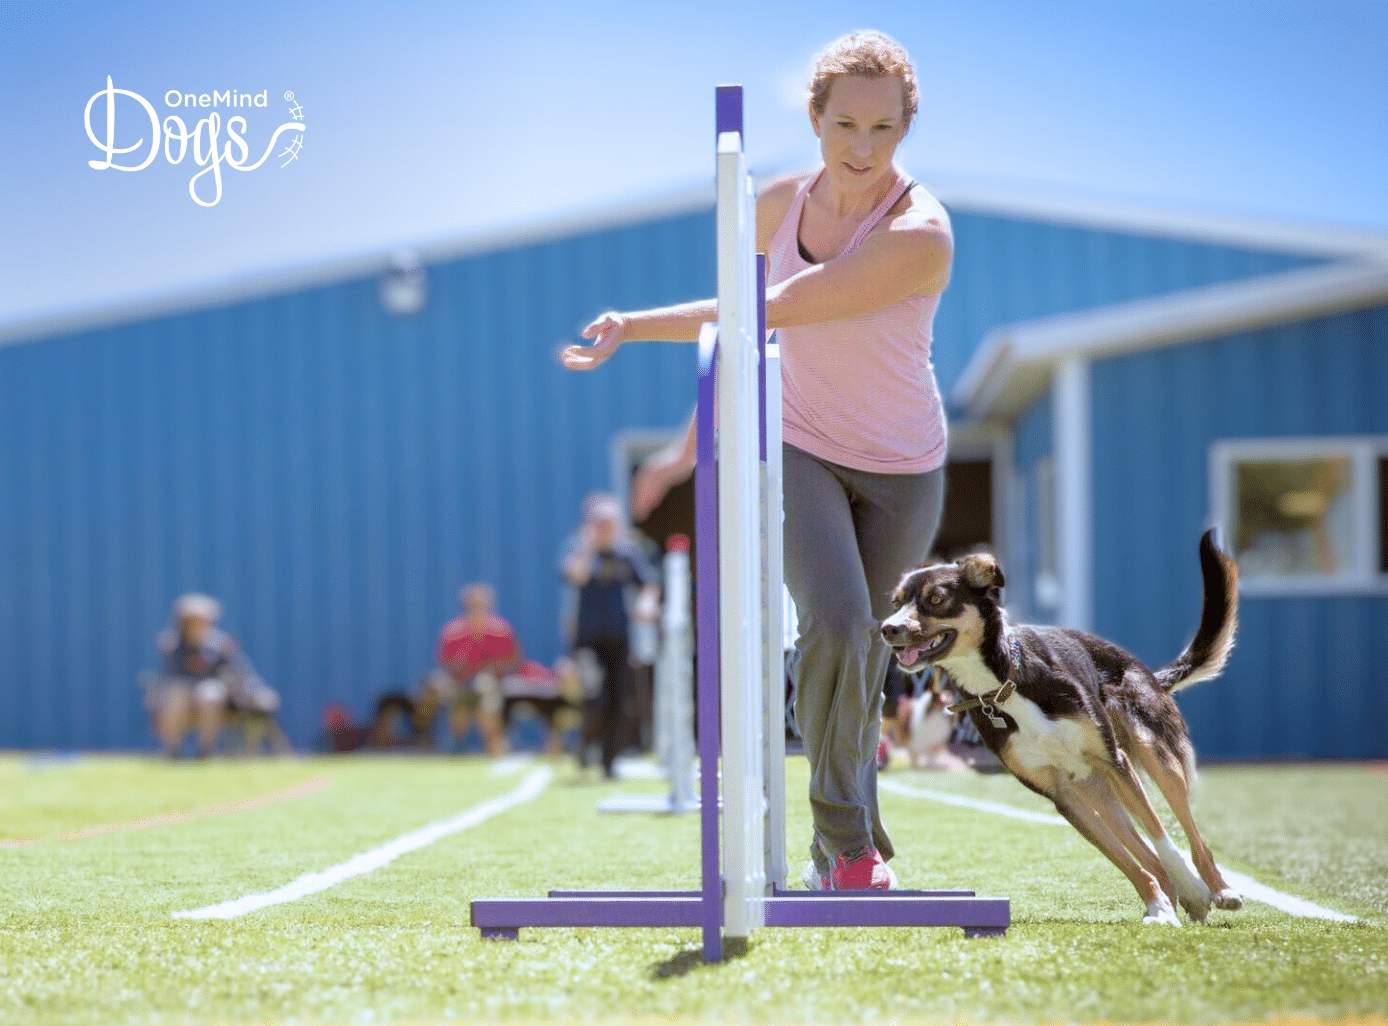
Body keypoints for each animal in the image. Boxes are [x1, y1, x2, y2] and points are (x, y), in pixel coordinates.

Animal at [882, 533, 1254, 927]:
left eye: (936, 599)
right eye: (896, 603)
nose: (887, 628)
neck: (1003, 682)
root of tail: (1147, 671)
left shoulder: (1114, 761)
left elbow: (1161, 835)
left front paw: (1193, 889)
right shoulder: (1061, 794)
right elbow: (1126, 862)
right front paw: (1159, 905)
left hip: (1153, 755)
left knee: (1190, 836)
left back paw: (1217, 889)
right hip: (1096, 789)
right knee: (1144, 853)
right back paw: (1170, 899)